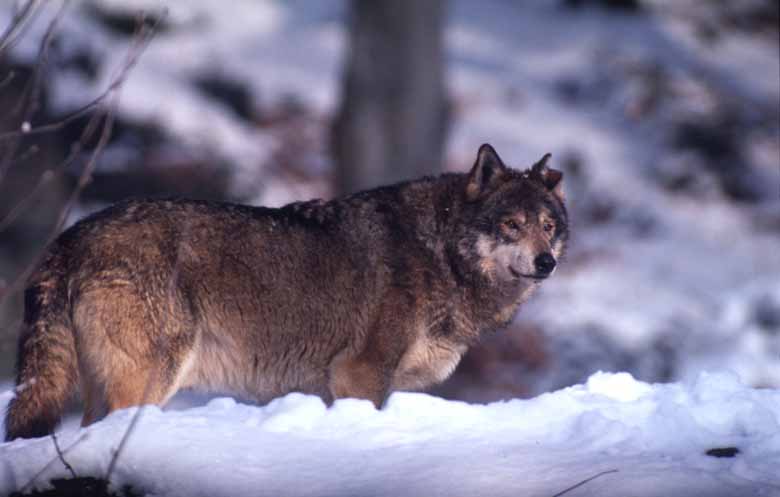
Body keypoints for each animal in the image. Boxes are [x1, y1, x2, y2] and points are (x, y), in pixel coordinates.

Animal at [4, 143, 568, 438]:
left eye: (547, 226)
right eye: (512, 225)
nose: (547, 262)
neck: (441, 251)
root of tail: (73, 234)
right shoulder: (359, 374)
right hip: (149, 381)